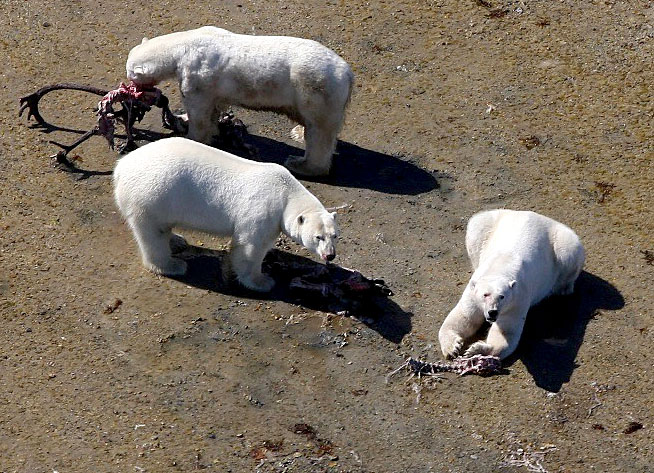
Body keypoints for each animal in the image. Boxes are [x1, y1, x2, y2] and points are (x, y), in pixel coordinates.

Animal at [113, 137, 339, 292]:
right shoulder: (263, 210)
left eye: (335, 235)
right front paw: (263, 281)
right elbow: (251, 247)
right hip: (151, 195)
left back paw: (177, 241)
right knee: (154, 233)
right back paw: (172, 265)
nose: (330, 255)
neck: (287, 193)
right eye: (318, 237)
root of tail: (121, 168)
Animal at [126, 26, 354, 177]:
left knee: (319, 132)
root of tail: (348, 73)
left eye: (131, 73)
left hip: (315, 88)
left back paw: (300, 164)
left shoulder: (197, 73)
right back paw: (298, 132)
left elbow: (198, 109)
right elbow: (214, 107)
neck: (184, 45)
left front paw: (191, 135)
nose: (129, 81)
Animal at [438, 209, 585, 360]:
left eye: (502, 296)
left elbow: (506, 330)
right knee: (476, 228)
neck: (501, 264)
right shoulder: (474, 290)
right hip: (488, 223)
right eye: (485, 294)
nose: (492, 312)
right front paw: (453, 347)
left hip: (560, 243)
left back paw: (562, 288)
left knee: (568, 253)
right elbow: (464, 316)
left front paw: (476, 349)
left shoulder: (517, 298)